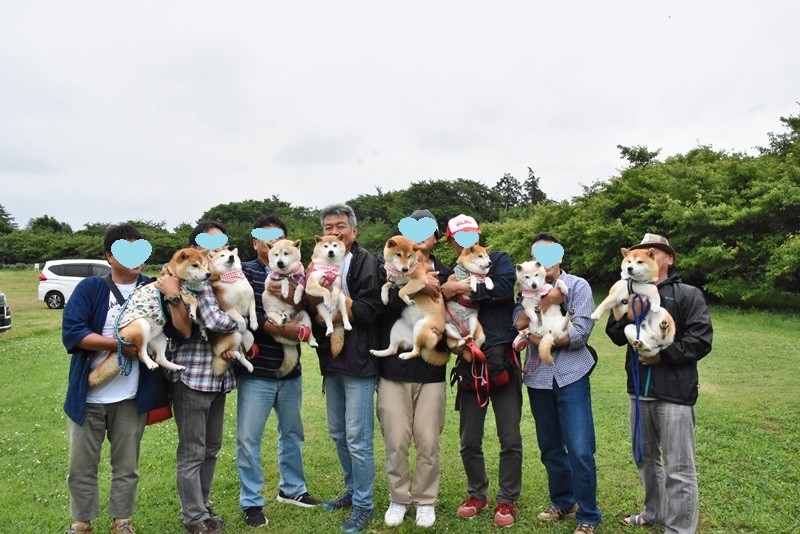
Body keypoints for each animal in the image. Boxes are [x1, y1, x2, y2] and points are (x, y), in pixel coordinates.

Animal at [87, 248, 209, 387]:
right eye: (195, 265)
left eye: (205, 265)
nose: (208, 274)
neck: (175, 277)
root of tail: (116, 336)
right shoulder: (179, 294)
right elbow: (195, 301)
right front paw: (193, 312)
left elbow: (200, 319)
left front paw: (203, 331)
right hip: (141, 325)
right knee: (141, 351)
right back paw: (151, 364)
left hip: (159, 337)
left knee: (159, 358)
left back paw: (176, 367)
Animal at [262, 238, 318, 376]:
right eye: (276, 254)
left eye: (286, 253)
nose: (279, 262)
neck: (289, 273)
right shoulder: (271, 281)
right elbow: (283, 280)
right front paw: (285, 291)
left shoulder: (302, 280)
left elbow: (300, 286)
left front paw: (296, 297)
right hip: (270, 314)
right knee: (276, 321)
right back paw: (282, 319)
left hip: (304, 315)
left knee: (307, 333)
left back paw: (311, 340)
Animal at [370, 236, 449, 366]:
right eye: (398, 254)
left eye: (409, 256)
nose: (405, 269)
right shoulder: (394, 281)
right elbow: (385, 285)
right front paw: (384, 298)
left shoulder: (420, 280)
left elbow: (402, 291)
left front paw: (407, 300)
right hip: (396, 327)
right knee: (392, 350)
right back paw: (377, 352)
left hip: (421, 326)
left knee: (416, 352)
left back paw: (406, 355)